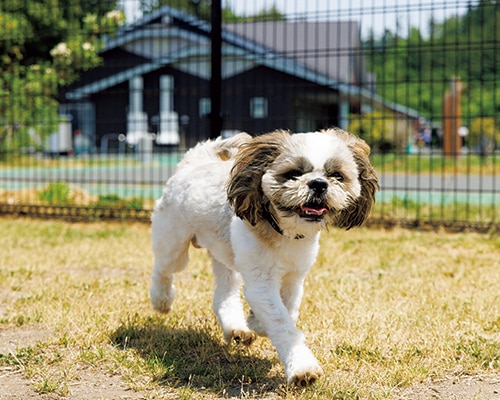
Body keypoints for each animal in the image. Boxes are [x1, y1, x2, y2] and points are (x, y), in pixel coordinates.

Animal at [150, 128, 376, 384]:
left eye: (337, 175)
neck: (284, 233)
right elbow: (281, 321)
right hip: (174, 243)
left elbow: (288, 310)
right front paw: (301, 367)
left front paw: (256, 322)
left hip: (226, 255)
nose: (319, 183)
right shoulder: (261, 282)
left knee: (224, 295)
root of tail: (194, 161)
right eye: (293, 174)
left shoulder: (293, 278)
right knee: (163, 268)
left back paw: (237, 328)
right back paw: (161, 300)